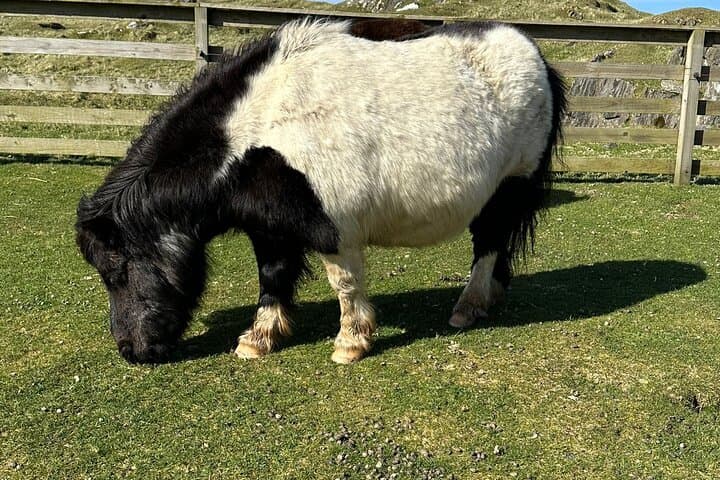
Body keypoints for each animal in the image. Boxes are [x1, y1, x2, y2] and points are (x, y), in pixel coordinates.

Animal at [76, 18, 566, 364]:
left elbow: (344, 284)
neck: (260, 127)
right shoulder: (269, 229)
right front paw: (259, 339)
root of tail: (536, 56)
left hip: (508, 190)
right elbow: (272, 276)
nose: (131, 351)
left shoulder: (334, 229)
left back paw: (467, 307)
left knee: (488, 246)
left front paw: (351, 343)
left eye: (116, 271)